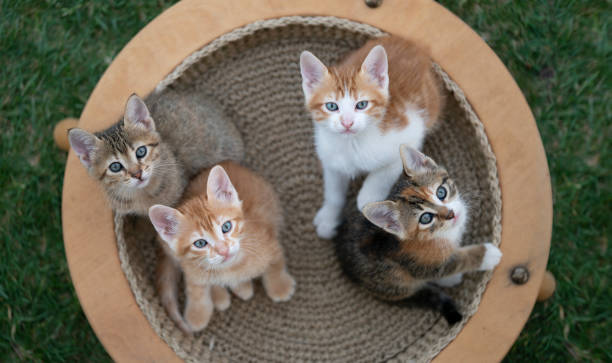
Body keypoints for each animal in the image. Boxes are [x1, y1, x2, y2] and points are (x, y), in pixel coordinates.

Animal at [147, 164, 292, 334]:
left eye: (226, 227)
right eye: (200, 243)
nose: (223, 250)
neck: (229, 268)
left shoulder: (269, 242)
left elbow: (275, 263)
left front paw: (279, 285)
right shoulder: (190, 265)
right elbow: (195, 286)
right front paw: (197, 313)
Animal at [298, 34, 442, 239]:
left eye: (362, 104)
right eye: (332, 106)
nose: (347, 123)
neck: (352, 143)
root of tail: (412, 44)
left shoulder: (411, 131)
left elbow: (384, 172)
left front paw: (369, 197)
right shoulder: (331, 158)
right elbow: (334, 193)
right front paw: (328, 218)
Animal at [334, 146, 502, 326]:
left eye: (441, 192)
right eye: (425, 218)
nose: (451, 214)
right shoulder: (419, 264)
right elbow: (455, 262)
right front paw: (487, 254)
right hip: (394, 280)